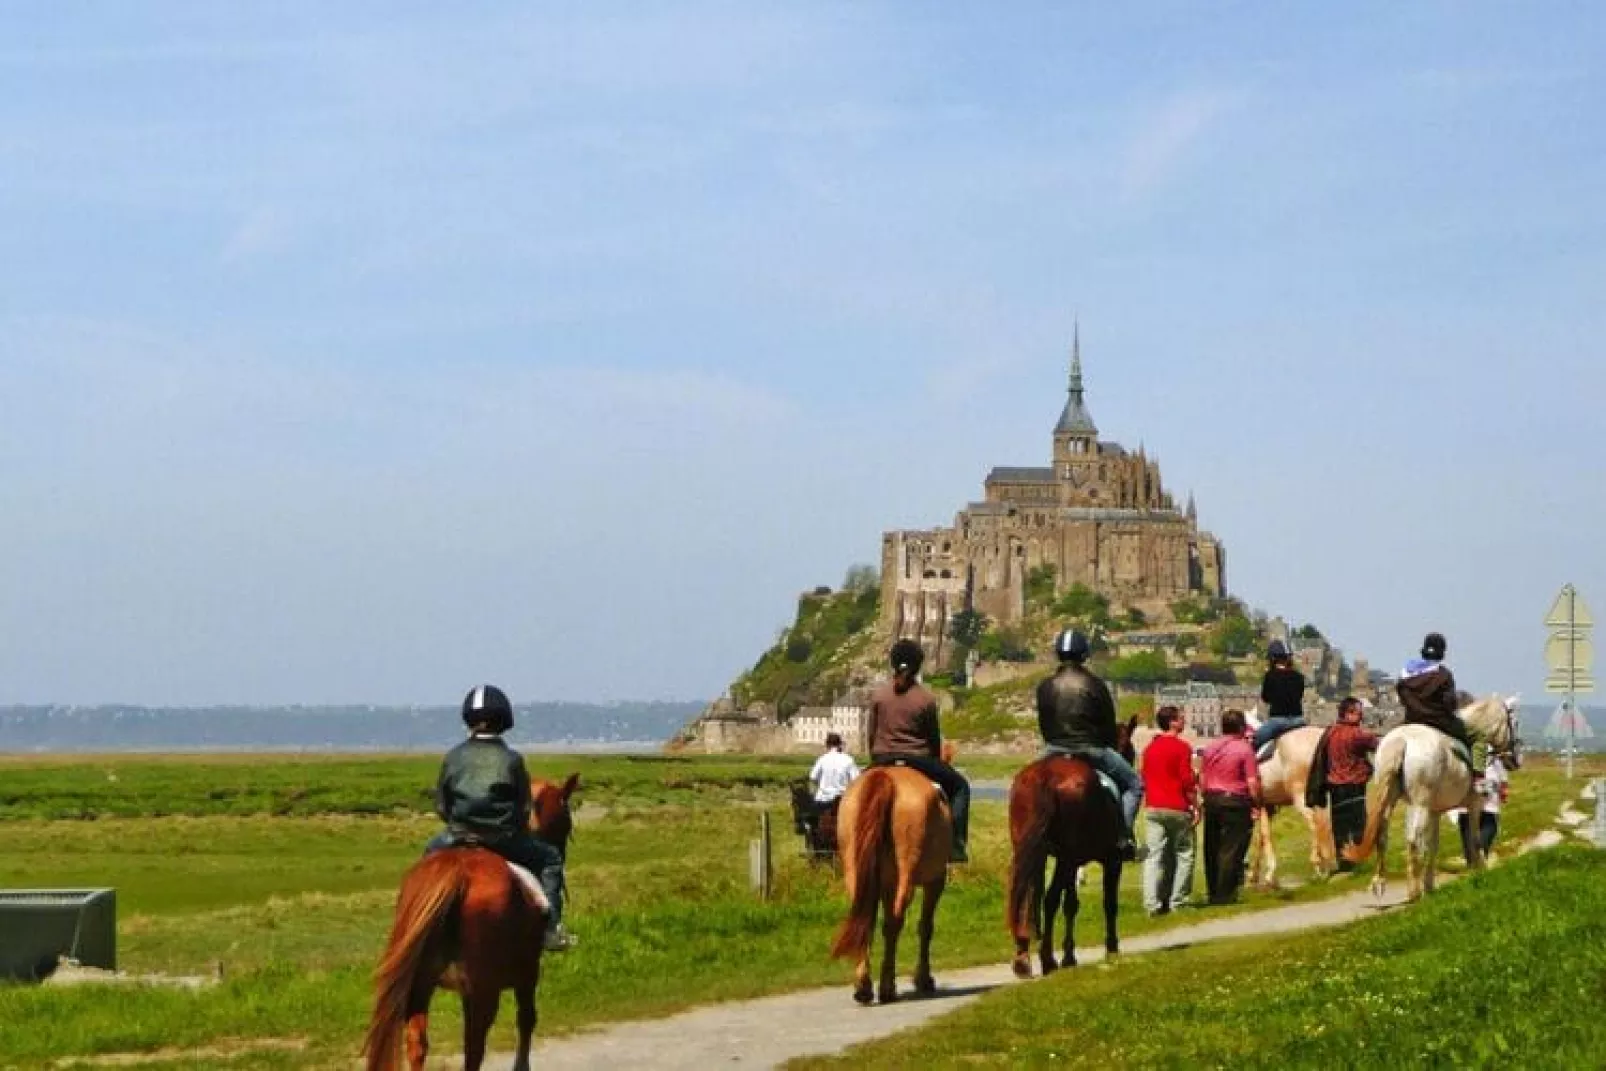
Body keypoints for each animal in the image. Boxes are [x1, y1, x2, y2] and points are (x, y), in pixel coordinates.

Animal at [366, 773, 584, 1071]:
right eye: (567, 815)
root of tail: (458, 871)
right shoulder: (528, 972)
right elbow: (527, 1018)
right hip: (484, 990)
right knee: (474, 1048)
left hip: (421, 985)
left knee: (418, 1042)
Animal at [828, 754, 950, 1008]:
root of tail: (885, 777)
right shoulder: (936, 880)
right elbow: (926, 927)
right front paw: (923, 978)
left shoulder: (885, 884)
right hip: (907, 876)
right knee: (894, 923)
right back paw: (887, 987)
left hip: (856, 873)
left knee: (865, 918)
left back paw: (863, 987)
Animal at [1002, 719, 1143, 982]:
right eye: (1130, 748)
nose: (1129, 759)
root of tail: (1047, 776)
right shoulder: (1111, 861)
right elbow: (1109, 904)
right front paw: (1112, 949)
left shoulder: (1073, 862)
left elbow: (1071, 905)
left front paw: (1069, 955)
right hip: (1065, 858)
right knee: (1049, 899)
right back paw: (1046, 959)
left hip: (1034, 853)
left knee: (1028, 895)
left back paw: (1023, 958)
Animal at [1246, 728, 1336, 886]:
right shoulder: (1266, 806)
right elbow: (1262, 837)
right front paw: (1256, 875)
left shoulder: (1261, 805)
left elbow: (1264, 836)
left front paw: (1267, 875)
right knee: (1326, 823)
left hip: (1301, 797)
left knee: (1314, 824)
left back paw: (1318, 864)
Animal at [1342, 696, 1516, 905]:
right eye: (1513, 723)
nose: (1514, 759)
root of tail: (1402, 740)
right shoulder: (1473, 805)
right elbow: (1475, 840)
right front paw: (1479, 872)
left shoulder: (1434, 812)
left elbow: (1432, 846)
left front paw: (1430, 885)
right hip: (1420, 805)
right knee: (1412, 841)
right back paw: (1414, 893)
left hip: (1392, 800)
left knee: (1382, 836)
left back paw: (1381, 883)